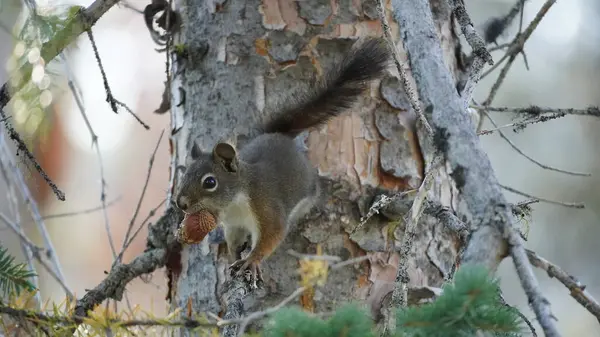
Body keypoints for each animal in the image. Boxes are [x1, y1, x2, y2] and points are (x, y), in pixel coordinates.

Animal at [175, 37, 390, 286]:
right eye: (184, 175)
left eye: (210, 182)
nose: (181, 203)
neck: (235, 203)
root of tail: (281, 136)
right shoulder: (233, 225)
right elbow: (233, 242)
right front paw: (234, 257)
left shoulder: (265, 206)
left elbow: (272, 235)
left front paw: (251, 261)